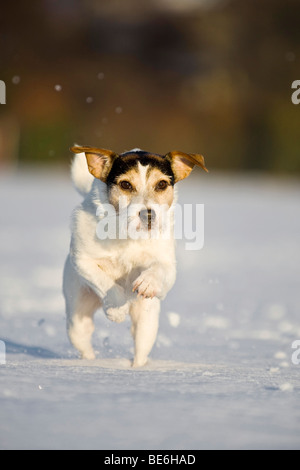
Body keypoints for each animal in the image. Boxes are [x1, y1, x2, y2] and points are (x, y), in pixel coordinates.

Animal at [62, 147, 209, 368]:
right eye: (125, 184)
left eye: (162, 184)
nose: (148, 214)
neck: (128, 235)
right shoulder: (82, 260)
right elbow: (103, 280)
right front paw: (116, 311)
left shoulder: (167, 266)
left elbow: (160, 269)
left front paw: (148, 282)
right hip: (77, 317)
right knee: (83, 341)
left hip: (147, 322)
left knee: (141, 348)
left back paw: (136, 369)